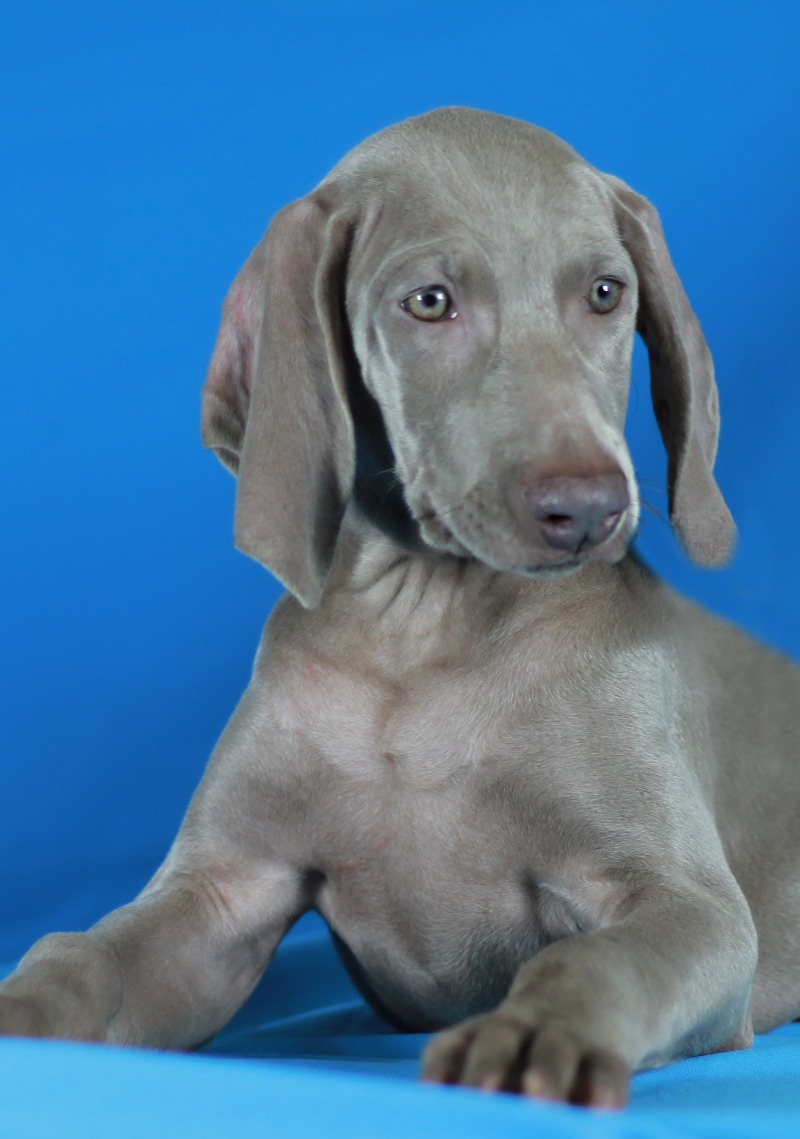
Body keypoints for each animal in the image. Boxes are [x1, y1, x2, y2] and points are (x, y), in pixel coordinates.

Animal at [2, 107, 799, 1110]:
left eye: (606, 293)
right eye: (429, 302)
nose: (588, 509)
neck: (419, 635)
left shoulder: (690, 902)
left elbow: (596, 958)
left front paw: (535, 1032)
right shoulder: (220, 896)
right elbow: (86, 948)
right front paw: (24, 998)